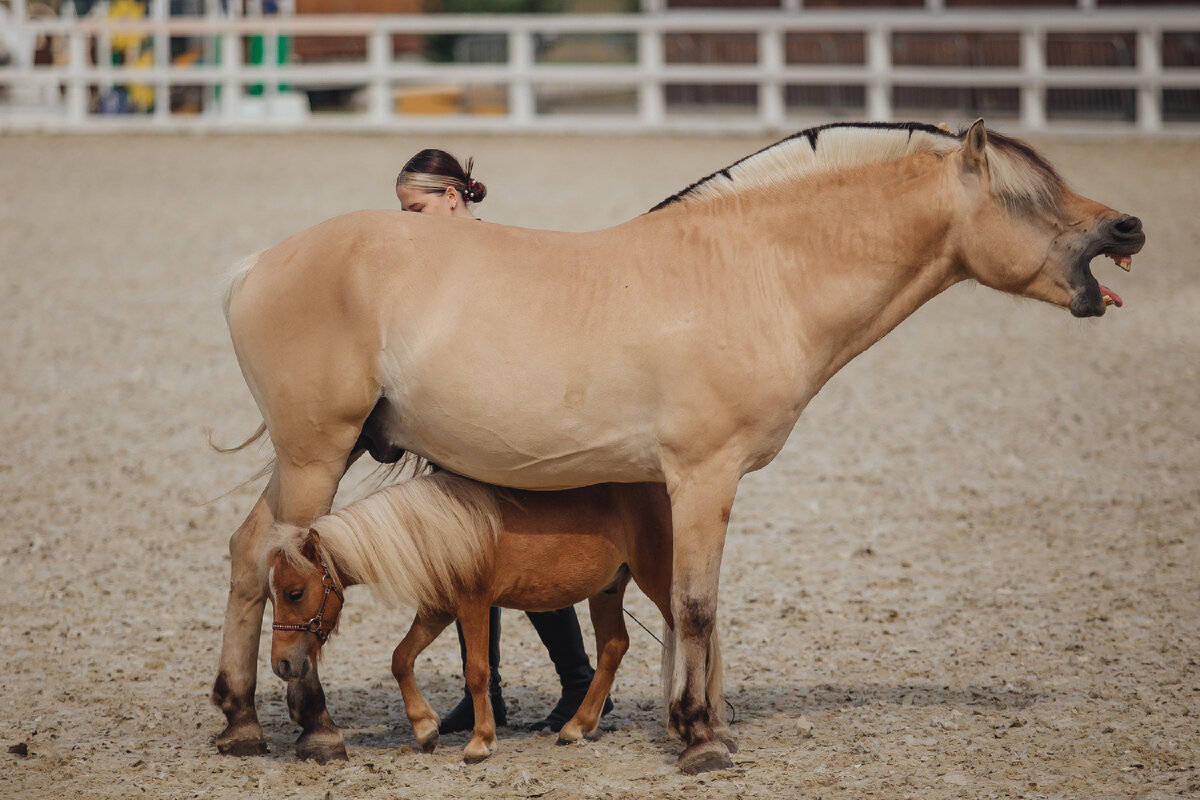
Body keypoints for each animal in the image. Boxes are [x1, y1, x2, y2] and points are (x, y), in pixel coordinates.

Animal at [262, 472, 724, 767]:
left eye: (295, 593)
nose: (282, 664)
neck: (436, 529)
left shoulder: (473, 605)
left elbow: (477, 671)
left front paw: (480, 742)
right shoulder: (437, 609)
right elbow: (400, 658)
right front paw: (425, 727)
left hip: (658, 583)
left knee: (692, 635)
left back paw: (701, 726)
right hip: (607, 590)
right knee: (614, 646)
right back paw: (577, 726)